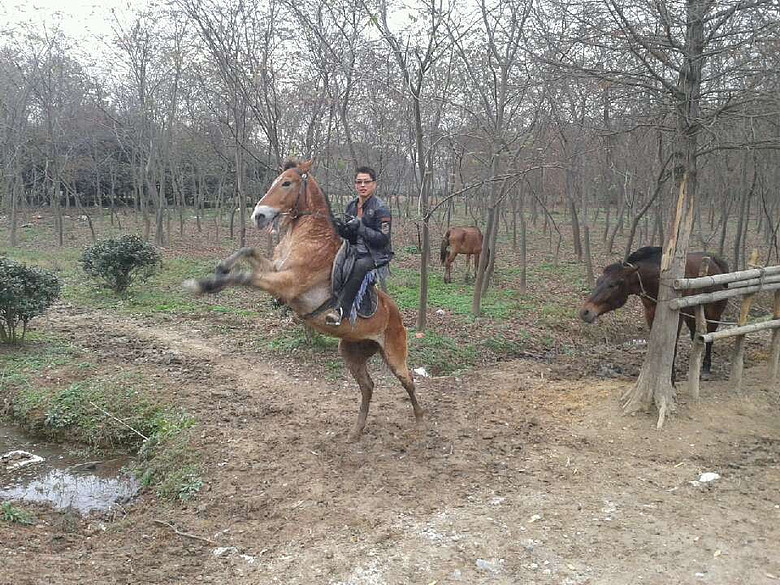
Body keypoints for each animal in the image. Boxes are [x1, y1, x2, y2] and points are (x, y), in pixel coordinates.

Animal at [183, 160, 423, 440]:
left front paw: (203, 285)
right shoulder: (275, 269)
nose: (259, 216)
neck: (308, 236)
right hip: (352, 352)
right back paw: (356, 430)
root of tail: (397, 314)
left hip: (394, 356)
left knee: (408, 381)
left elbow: (245, 276)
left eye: (287, 183)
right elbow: (248, 251)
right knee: (368, 386)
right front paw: (221, 267)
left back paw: (420, 421)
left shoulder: (287, 281)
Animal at [579, 246, 729, 379]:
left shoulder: (678, 316)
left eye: (613, 284)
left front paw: (671, 376)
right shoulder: (650, 313)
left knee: (710, 337)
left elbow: (672, 345)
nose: (585, 312)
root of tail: (717, 262)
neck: (658, 279)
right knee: (695, 336)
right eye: (599, 281)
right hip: (692, 314)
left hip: (713, 313)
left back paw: (706, 368)